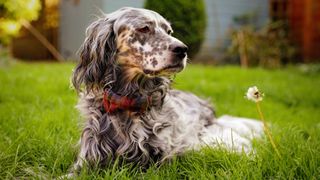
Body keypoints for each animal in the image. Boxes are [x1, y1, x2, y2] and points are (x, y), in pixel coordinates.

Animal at [71, 7, 264, 172]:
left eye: (169, 31)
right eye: (144, 28)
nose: (183, 49)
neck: (130, 102)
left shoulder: (163, 160)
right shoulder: (88, 158)